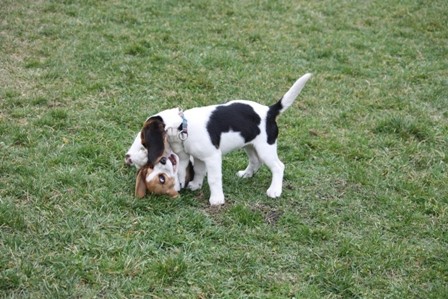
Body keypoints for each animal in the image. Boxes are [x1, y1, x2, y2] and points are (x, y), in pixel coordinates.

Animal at [125, 74, 312, 207]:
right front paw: (195, 185)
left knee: (278, 167)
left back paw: (274, 190)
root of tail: (270, 111)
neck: (183, 127)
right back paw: (246, 174)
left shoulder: (212, 157)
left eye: (143, 144)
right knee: (255, 161)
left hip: (265, 147)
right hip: (250, 145)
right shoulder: (198, 157)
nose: (129, 158)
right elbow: (199, 172)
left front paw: (216, 199)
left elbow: (213, 179)